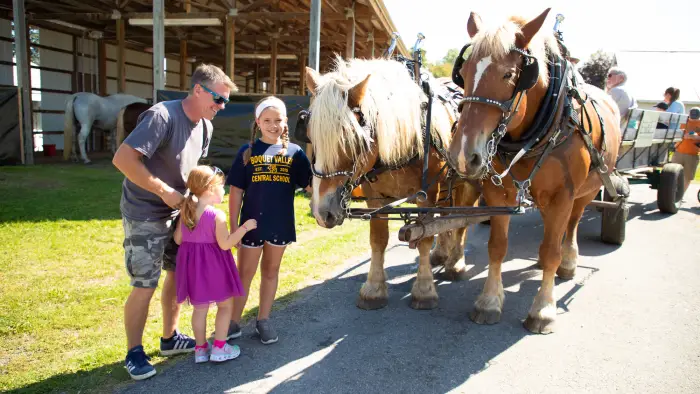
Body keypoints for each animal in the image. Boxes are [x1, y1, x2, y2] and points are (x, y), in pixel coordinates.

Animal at [304, 55, 482, 310]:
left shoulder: (428, 193)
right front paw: (374, 288)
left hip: (468, 183)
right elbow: (378, 240)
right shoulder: (374, 196)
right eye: (310, 135)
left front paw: (424, 289)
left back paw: (455, 262)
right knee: (446, 217)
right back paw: (441, 253)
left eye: (352, 139)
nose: (322, 212)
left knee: (462, 221)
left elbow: (425, 235)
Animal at [448, 8, 624, 332]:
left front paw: (543, 308)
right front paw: (489, 301)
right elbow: (497, 246)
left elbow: (552, 248)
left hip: (587, 189)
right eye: (463, 74)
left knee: (572, 224)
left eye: (509, 75)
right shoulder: (498, 194)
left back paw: (567, 262)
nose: (464, 155)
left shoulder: (563, 195)